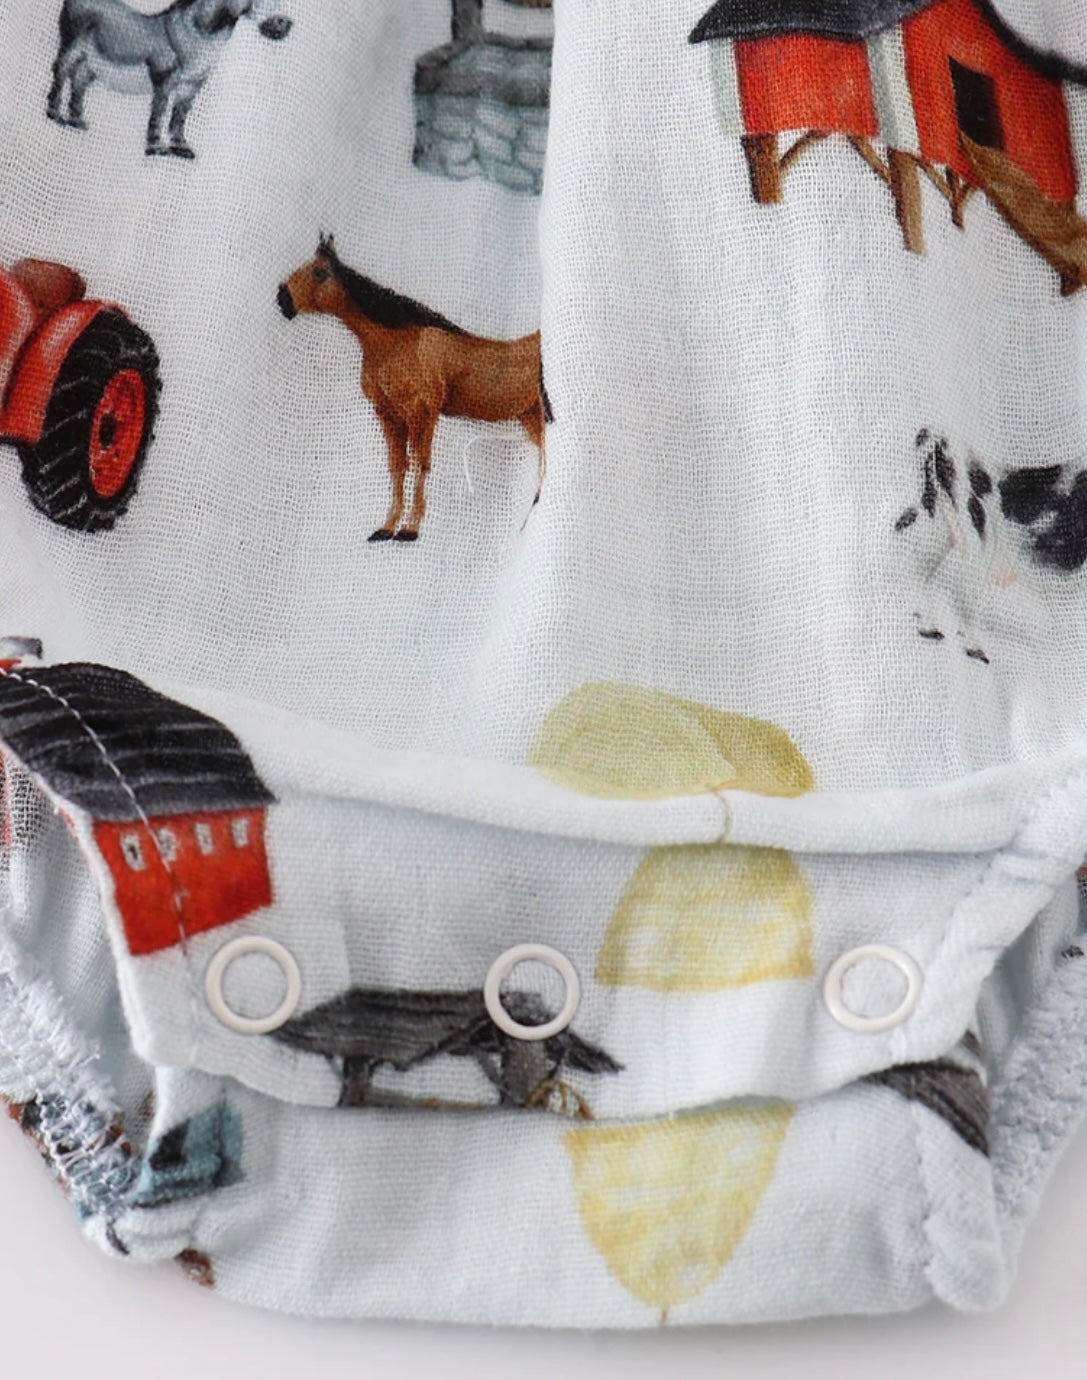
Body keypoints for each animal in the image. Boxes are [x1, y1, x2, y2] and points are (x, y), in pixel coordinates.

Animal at [47, 0, 292, 160]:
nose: (287, 24)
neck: (196, 36)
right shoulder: (164, 79)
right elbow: (160, 112)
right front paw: (155, 147)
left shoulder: (191, 85)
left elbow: (179, 116)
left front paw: (180, 147)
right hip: (72, 47)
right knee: (60, 72)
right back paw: (54, 114)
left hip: (91, 63)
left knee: (78, 81)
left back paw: (76, 120)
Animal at [277, 234, 551, 542]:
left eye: (319, 272)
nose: (282, 299)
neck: (398, 345)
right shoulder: (389, 414)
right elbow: (398, 466)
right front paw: (387, 526)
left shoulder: (423, 412)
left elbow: (421, 462)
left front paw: (410, 528)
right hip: (530, 418)